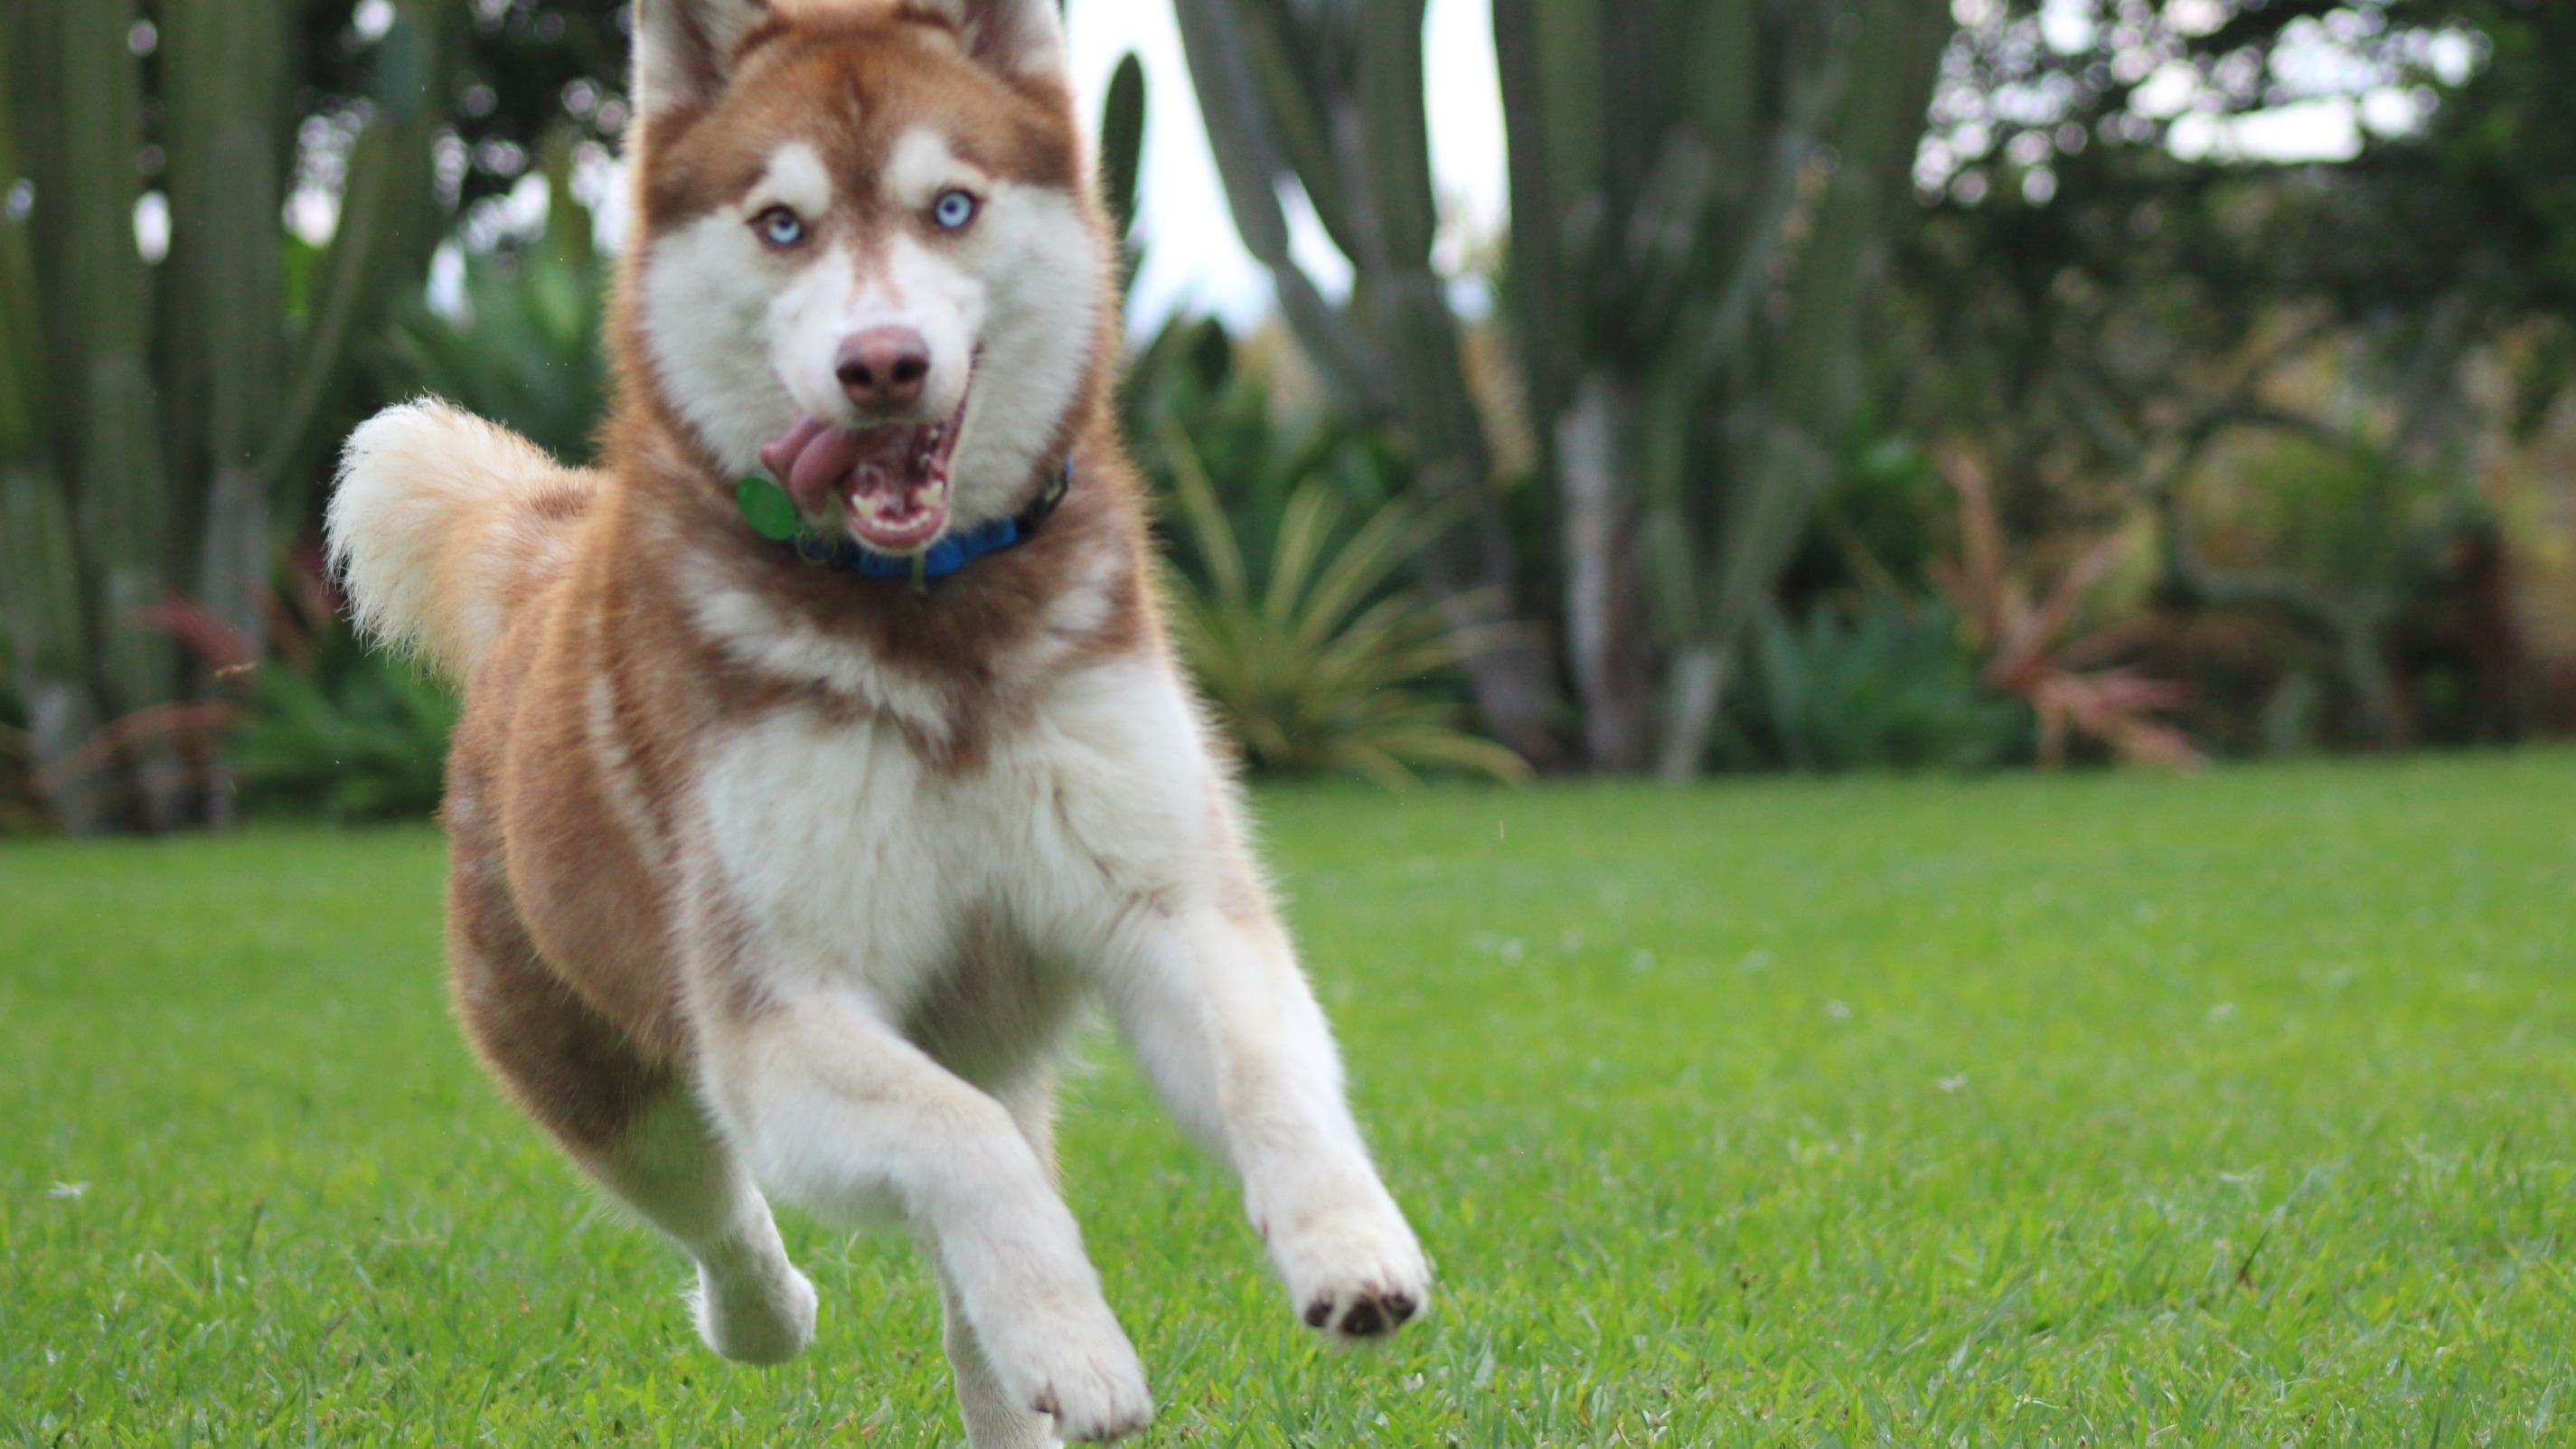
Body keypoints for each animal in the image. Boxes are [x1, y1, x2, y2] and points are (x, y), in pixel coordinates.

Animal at [322, 5, 1432, 1433]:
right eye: (780, 223)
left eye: (949, 205)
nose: (883, 363)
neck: (925, 624)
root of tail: (551, 557)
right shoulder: (779, 1018)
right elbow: (957, 1147)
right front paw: (1082, 1344)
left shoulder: (1168, 898)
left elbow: (1263, 1069)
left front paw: (1349, 1244)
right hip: (607, 1080)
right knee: (728, 1216)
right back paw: (770, 1315)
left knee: (968, 1270)